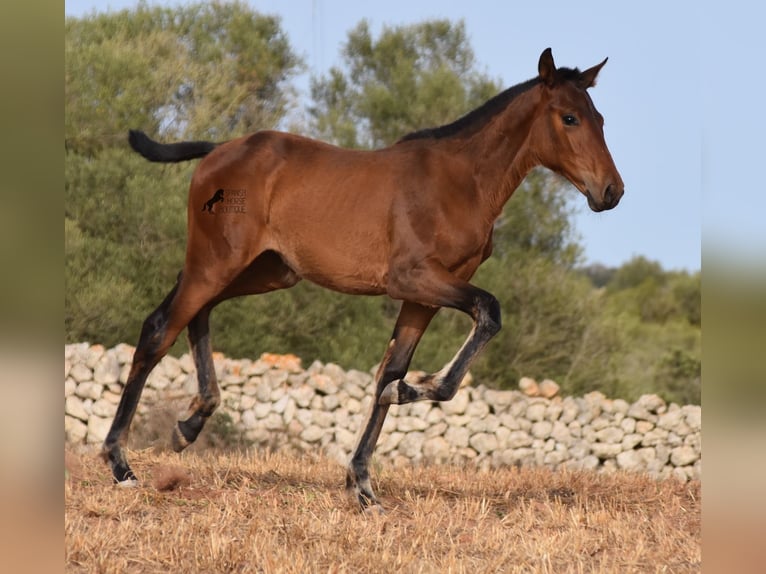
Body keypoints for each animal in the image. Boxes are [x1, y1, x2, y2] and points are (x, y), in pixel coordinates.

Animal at [102, 47, 624, 510]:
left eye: (600, 119)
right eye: (569, 118)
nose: (611, 192)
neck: (461, 182)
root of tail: (219, 150)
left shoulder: (425, 297)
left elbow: (388, 373)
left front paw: (363, 488)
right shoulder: (413, 279)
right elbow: (486, 313)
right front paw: (415, 393)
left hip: (264, 271)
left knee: (195, 314)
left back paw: (188, 425)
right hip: (217, 262)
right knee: (160, 327)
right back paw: (122, 464)